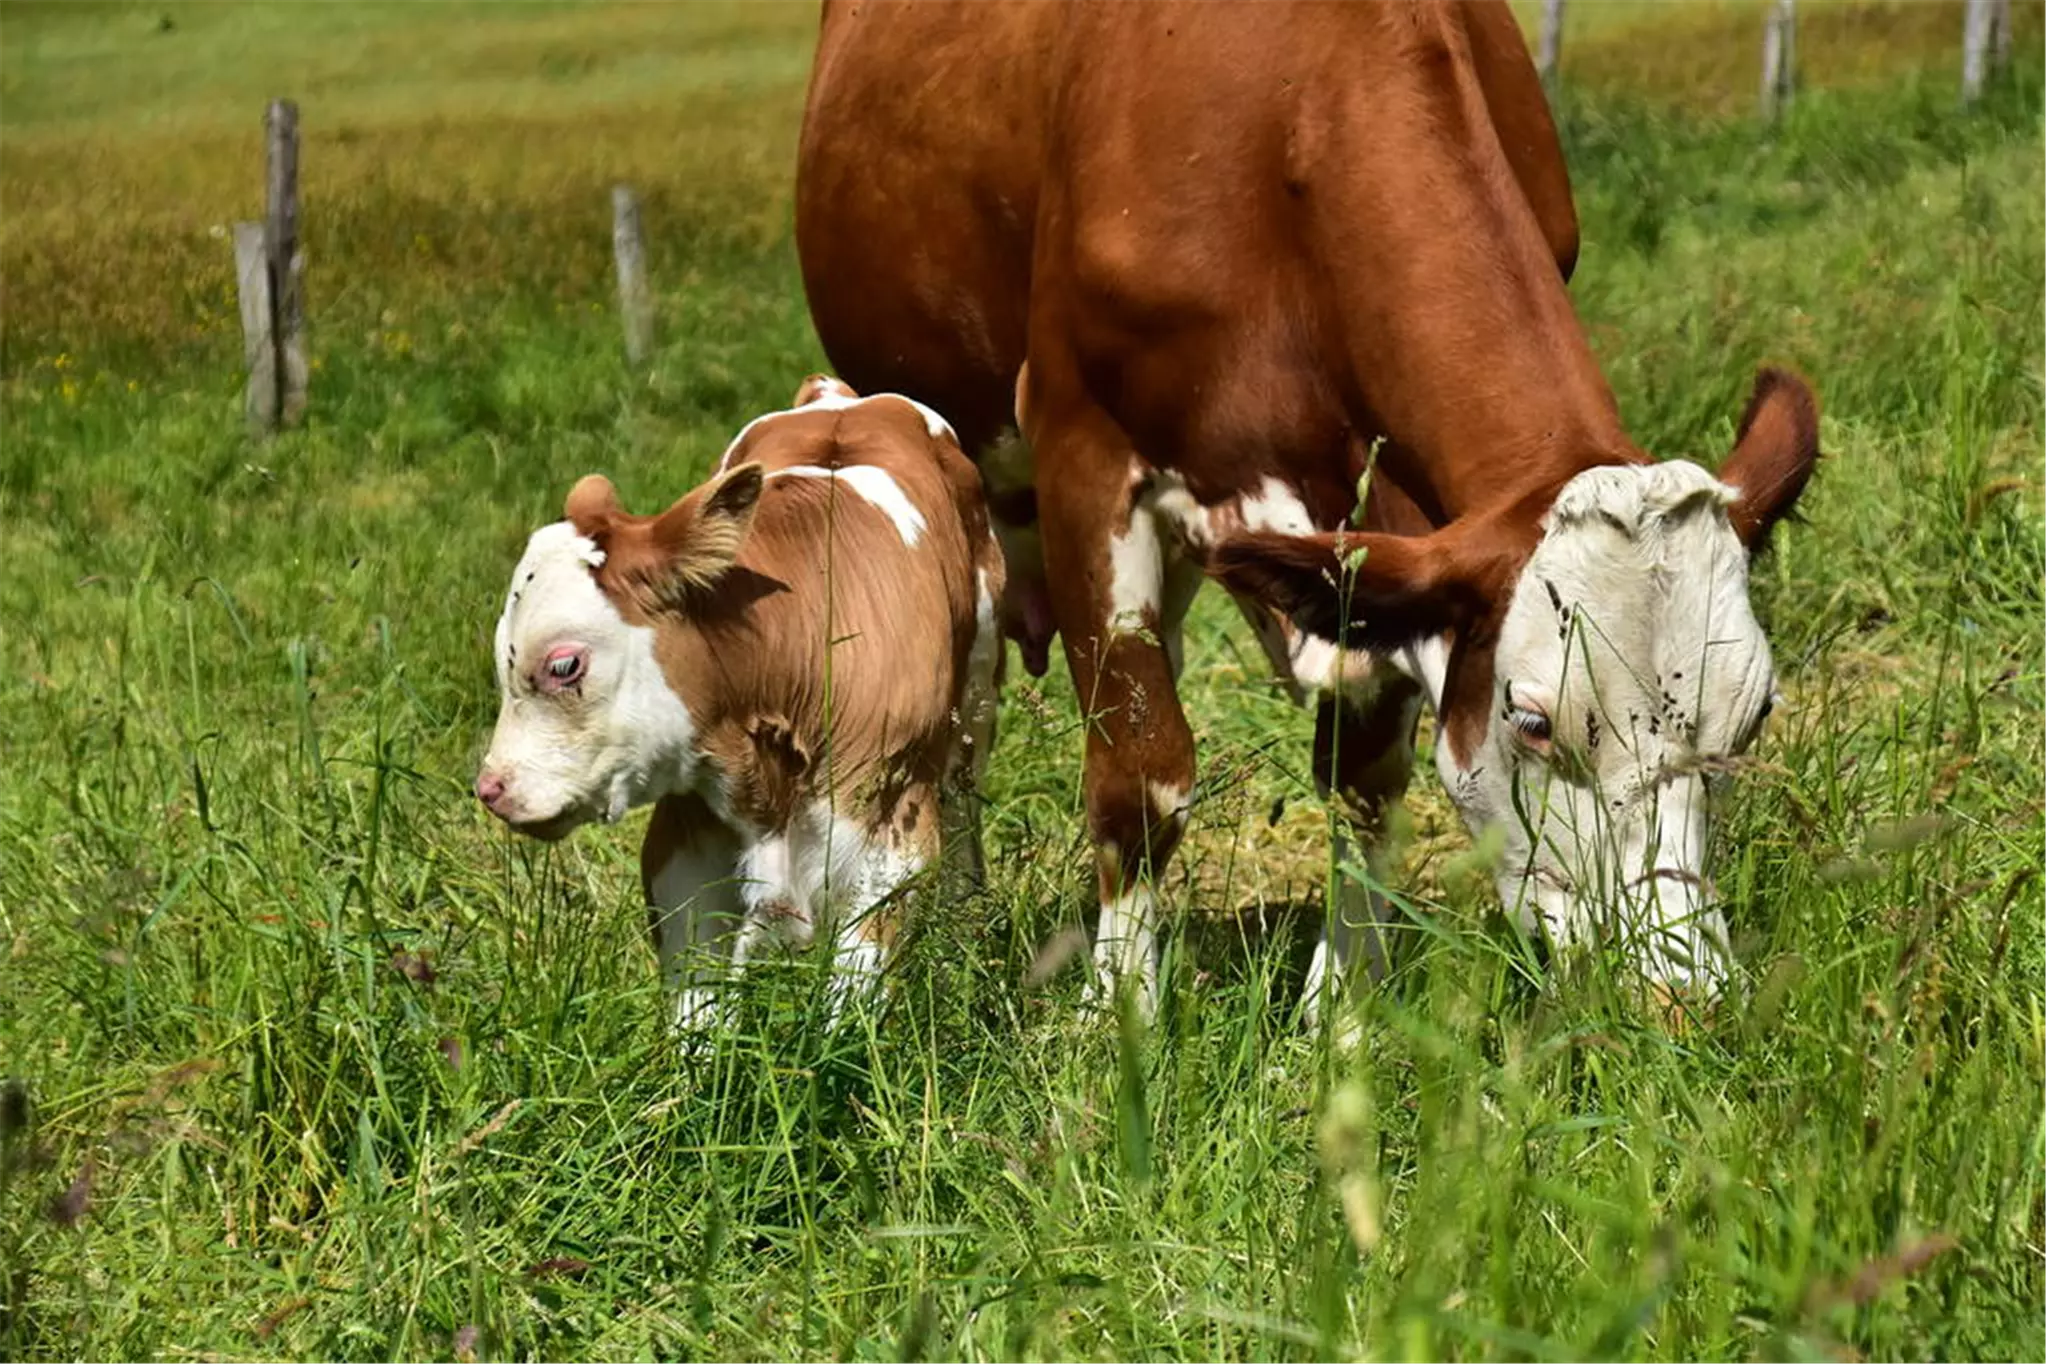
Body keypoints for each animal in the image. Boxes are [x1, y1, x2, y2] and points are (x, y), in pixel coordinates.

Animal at [466, 378, 1006, 1030]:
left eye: (564, 665)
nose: (489, 789)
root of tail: (841, 397)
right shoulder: (685, 841)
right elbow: (697, 1012)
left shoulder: (885, 843)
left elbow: (850, 1006)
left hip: (974, 710)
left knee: (963, 821)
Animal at [793, 0, 1825, 1022]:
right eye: (1534, 721)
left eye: (1755, 719)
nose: (1678, 999)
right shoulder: (1085, 453)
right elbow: (1138, 775)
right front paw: (1120, 1017)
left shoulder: (1386, 529)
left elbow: (1364, 775)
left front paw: (1343, 1014)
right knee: (969, 720)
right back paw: (962, 917)